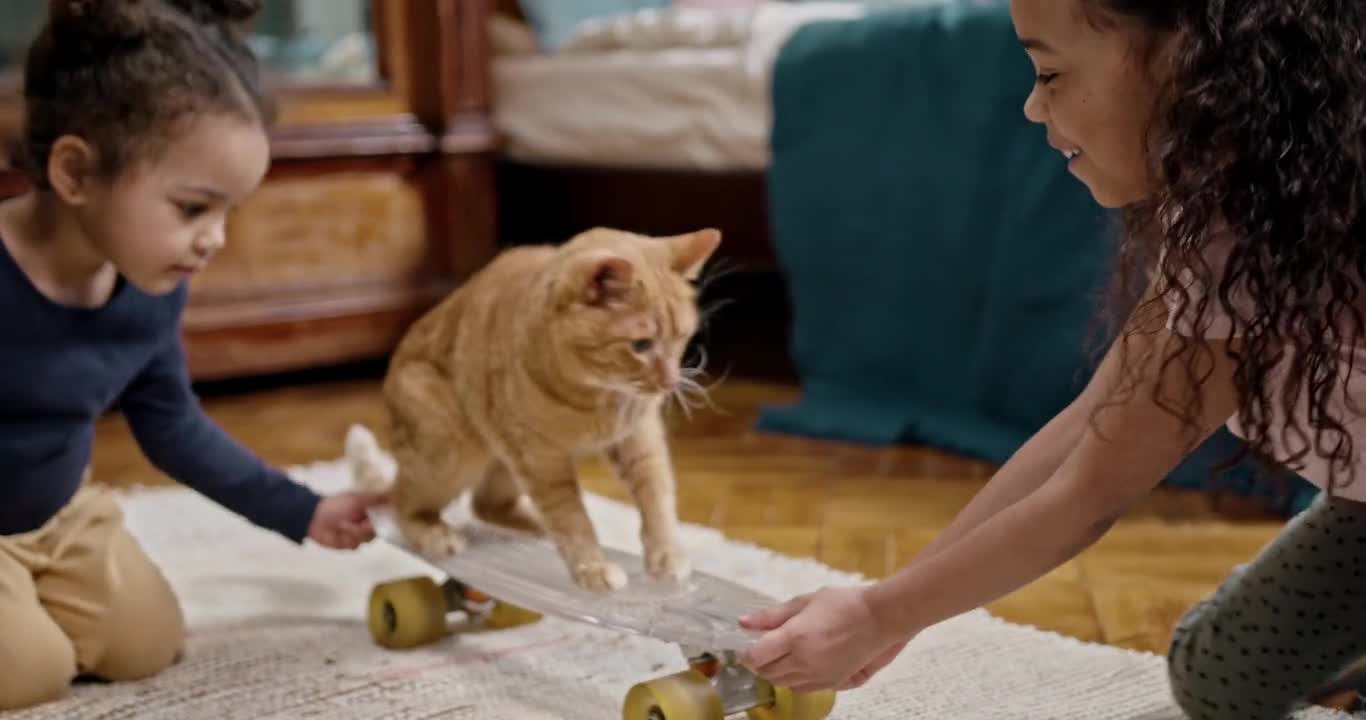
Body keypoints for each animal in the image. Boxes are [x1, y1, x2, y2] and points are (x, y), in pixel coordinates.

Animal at [368, 225, 721, 592]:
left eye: (682, 338)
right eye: (641, 345)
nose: (670, 383)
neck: (596, 396)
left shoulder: (640, 439)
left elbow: (658, 499)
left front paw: (666, 555)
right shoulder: (542, 462)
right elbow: (572, 519)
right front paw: (592, 567)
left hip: (502, 463)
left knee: (486, 504)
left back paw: (535, 527)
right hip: (449, 455)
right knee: (401, 501)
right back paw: (432, 534)